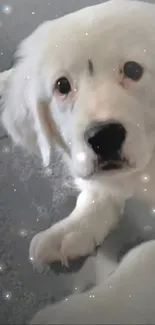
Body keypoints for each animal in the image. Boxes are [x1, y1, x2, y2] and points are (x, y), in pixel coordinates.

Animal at [0, 0, 155, 322]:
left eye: (133, 69)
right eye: (62, 86)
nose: (104, 137)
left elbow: (145, 256)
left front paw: (83, 310)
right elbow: (95, 195)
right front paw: (70, 230)